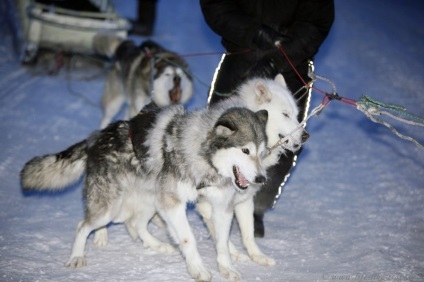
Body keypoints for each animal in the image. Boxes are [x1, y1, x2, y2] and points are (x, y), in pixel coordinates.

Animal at [20, 104, 268, 282]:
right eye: (245, 150)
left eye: (262, 153)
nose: (261, 179)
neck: (201, 157)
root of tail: (96, 137)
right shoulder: (173, 203)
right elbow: (188, 239)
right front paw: (197, 269)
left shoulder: (220, 208)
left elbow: (223, 243)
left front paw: (226, 269)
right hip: (111, 207)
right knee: (83, 225)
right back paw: (78, 255)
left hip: (150, 202)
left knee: (135, 225)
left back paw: (157, 245)